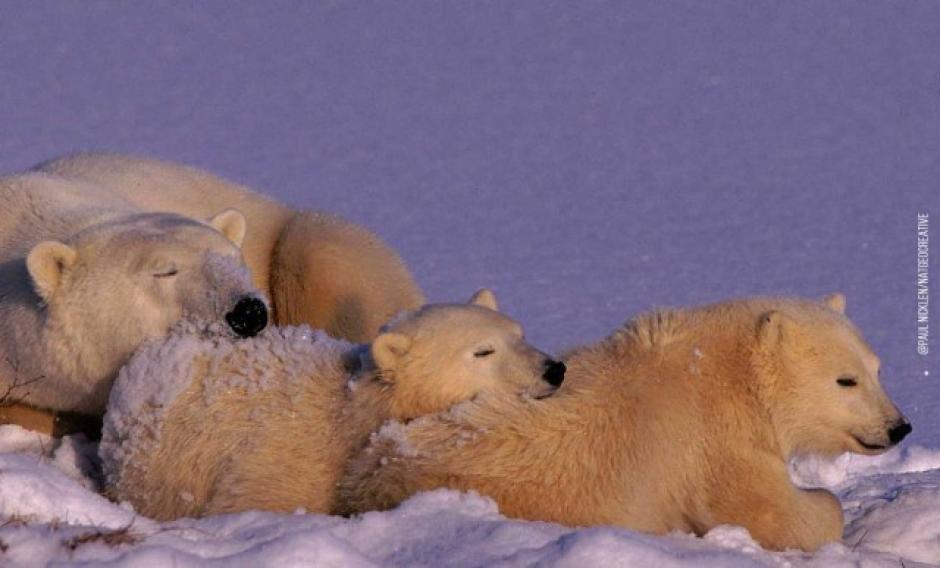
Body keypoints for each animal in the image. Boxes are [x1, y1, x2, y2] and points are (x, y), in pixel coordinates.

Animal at [99, 289, 566, 521]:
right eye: (482, 351)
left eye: (518, 334)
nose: (554, 369)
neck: (353, 411)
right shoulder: (290, 456)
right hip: (160, 465)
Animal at [338, 294, 911, 552]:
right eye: (845, 380)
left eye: (877, 368)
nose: (898, 426)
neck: (727, 364)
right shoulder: (714, 440)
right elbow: (770, 514)